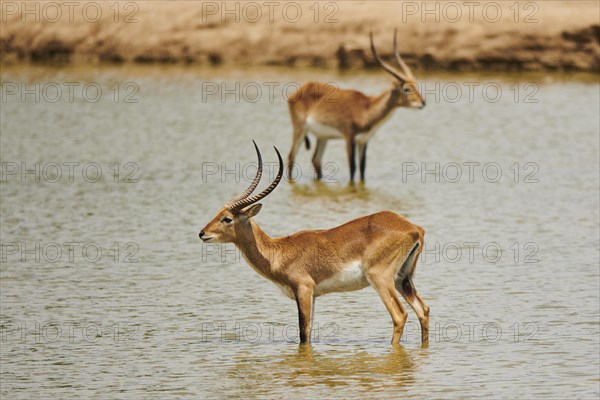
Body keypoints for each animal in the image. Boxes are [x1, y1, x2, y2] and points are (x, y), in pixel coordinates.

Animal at [199, 142, 428, 346]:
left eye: (227, 218)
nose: (202, 233)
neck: (278, 252)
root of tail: (414, 228)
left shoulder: (304, 290)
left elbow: (304, 333)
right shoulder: (314, 295)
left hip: (381, 279)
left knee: (399, 315)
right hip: (402, 280)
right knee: (423, 310)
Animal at [288, 29, 424, 183]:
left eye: (416, 84)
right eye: (407, 88)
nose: (422, 102)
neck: (366, 109)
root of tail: (303, 87)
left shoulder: (363, 140)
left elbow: (362, 168)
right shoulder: (349, 138)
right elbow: (353, 167)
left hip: (322, 136)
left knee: (316, 160)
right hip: (300, 129)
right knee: (291, 157)